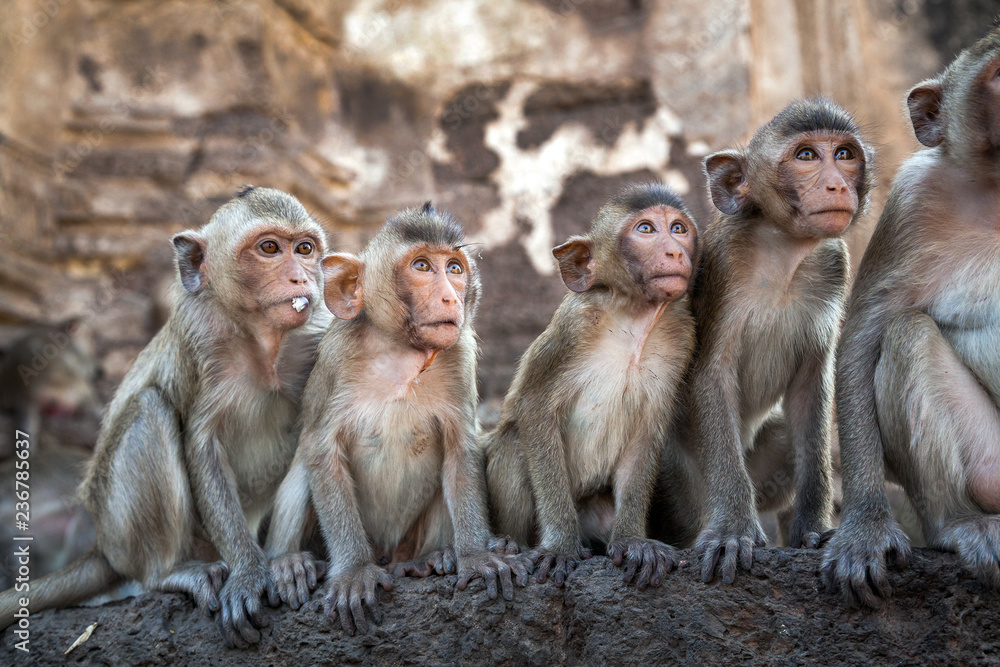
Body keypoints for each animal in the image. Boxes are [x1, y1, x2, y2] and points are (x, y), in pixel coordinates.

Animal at [0, 186, 331, 647]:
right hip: (121, 527)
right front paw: (249, 572)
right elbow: (202, 444)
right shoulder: (199, 337)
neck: (263, 340)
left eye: (305, 249)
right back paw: (170, 572)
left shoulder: (318, 333)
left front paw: (282, 564)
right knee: (149, 410)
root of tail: (102, 545)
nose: (302, 278)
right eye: (269, 248)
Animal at [264, 204, 530, 634]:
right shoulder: (335, 358)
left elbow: (461, 450)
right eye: (421, 266)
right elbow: (321, 451)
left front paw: (476, 555)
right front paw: (354, 571)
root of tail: (391, 554)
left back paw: (429, 560)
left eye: (454, 268)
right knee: (305, 469)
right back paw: (290, 563)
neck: (401, 351)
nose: (450, 297)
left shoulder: (460, 356)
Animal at [483, 183, 699, 589]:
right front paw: (560, 546)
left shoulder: (681, 336)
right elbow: (534, 408)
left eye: (678, 228)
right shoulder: (573, 327)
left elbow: (647, 430)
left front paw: (632, 541)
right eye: (646, 229)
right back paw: (510, 543)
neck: (633, 318)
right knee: (513, 442)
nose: (675, 251)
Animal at [655, 100, 874, 585]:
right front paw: (732, 530)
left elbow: (811, 391)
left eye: (845, 154)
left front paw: (812, 529)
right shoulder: (724, 266)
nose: (836, 183)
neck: (784, 252)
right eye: (807, 156)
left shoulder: (834, 264)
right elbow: (711, 376)